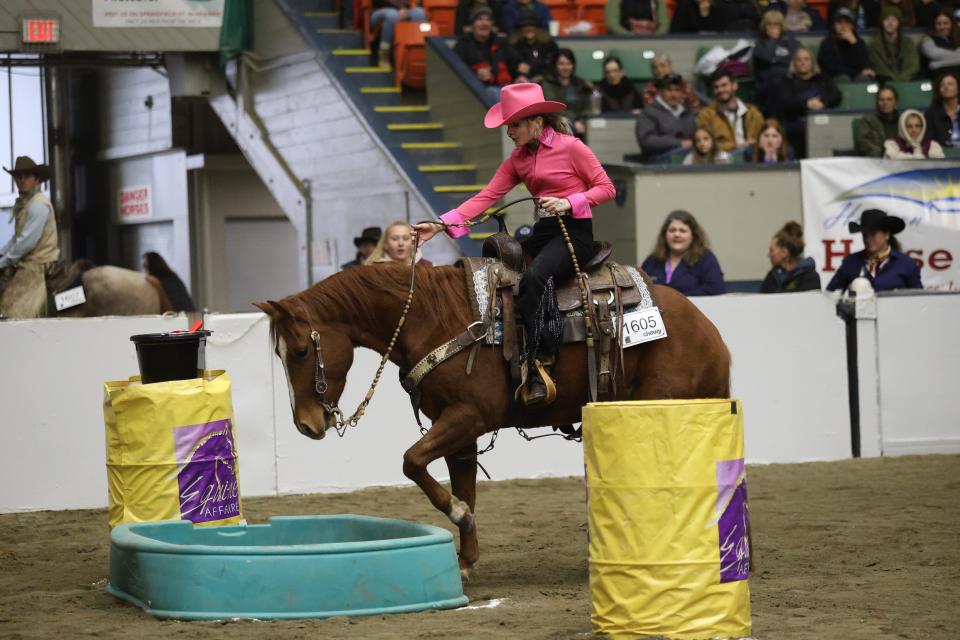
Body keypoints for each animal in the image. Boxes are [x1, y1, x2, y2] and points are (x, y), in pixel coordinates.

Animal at [255, 262, 728, 576]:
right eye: (278, 354)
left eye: (301, 351)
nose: (306, 424)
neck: (431, 316)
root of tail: (708, 330)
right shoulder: (457, 432)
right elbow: (461, 485)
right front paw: (465, 558)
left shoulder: (467, 417)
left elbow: (412, 461)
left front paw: (457, 514)